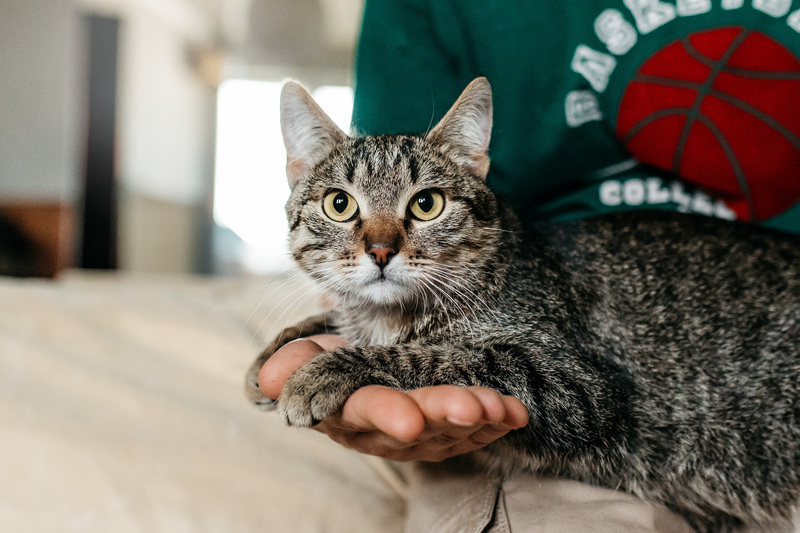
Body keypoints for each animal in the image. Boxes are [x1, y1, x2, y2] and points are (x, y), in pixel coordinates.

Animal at [244, 77, 800, 528]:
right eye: (340, 204)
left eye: (426, 204)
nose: (381, 250)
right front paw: (274, 351)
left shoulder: (576, 385)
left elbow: (433, 355)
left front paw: (328, 369)